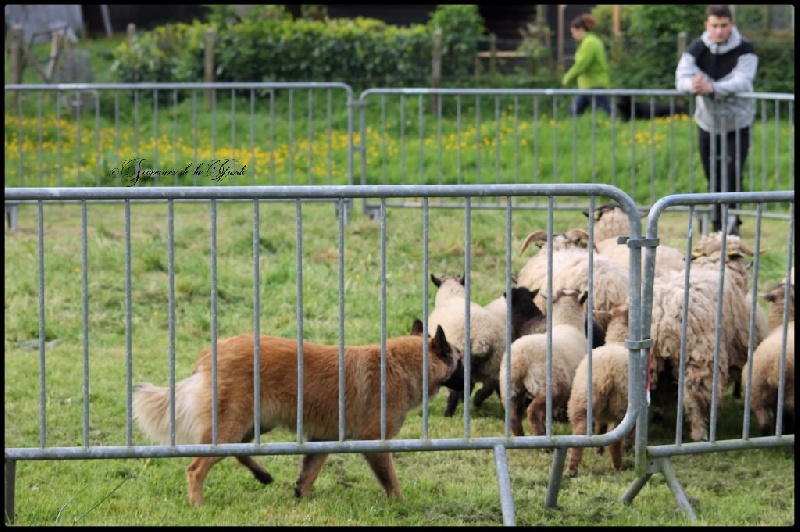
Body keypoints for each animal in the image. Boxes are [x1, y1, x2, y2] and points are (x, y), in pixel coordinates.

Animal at [133, 320, 462, 508]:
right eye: (459, 358)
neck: (402, 364)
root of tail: (211, 353)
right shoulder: (374, 442)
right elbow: (391, 481)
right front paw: (402, 506)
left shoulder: (320, 441)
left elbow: (308, 474)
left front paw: (300, 499)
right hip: (232, 425)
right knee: (196, 468)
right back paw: (198, 504)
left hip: (252, 425)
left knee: (237, 450)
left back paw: (262, 474)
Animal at [496, 288, 592, 434]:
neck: (567, 324)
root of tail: (521, 360)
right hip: (550, 386)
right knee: (533, 411)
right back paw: (542, 436)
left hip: (509, 386)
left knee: (512, 415)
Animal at [564, 304, 636, 478]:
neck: (617, 340)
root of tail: (606, 372)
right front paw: (628, 448)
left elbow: (599, 428)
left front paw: (598, 449)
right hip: (620, 405)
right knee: (615, 439)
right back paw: (617, 465)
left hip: (581, 401)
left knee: (578, 435)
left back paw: (571, 469)